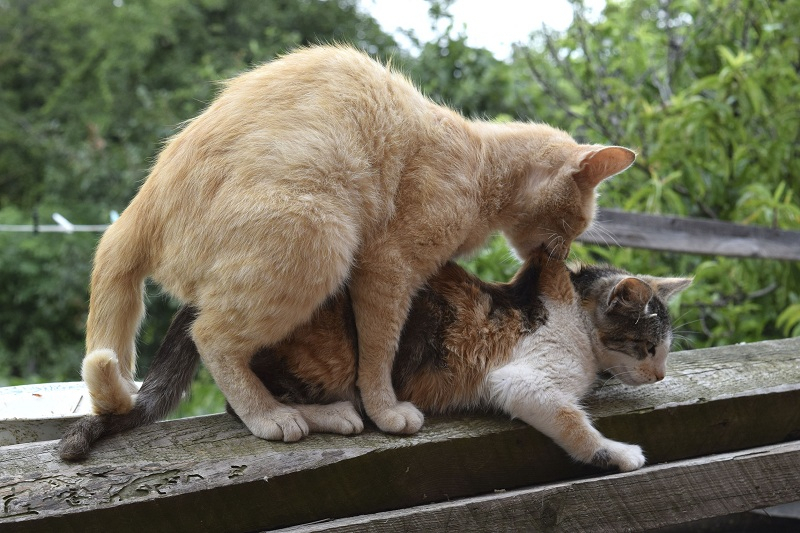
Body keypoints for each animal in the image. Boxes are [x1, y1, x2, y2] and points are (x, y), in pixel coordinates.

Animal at [62, 247, 692, 468]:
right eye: (647, 345)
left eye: (664, 349)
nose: (660, 372)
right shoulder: (522, 379)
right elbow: (571, 421)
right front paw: (621, 453)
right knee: (243, 407)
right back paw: (328, 415)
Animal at [79, 42, 632, 440]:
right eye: (575, 225)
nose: (564, 252)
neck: (481, 167)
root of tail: (137, 213)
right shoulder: (387, 268)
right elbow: (378, 352)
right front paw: (385, 411)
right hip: (318, 236)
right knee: (212, 339)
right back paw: (274, 418)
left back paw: (327, 415)